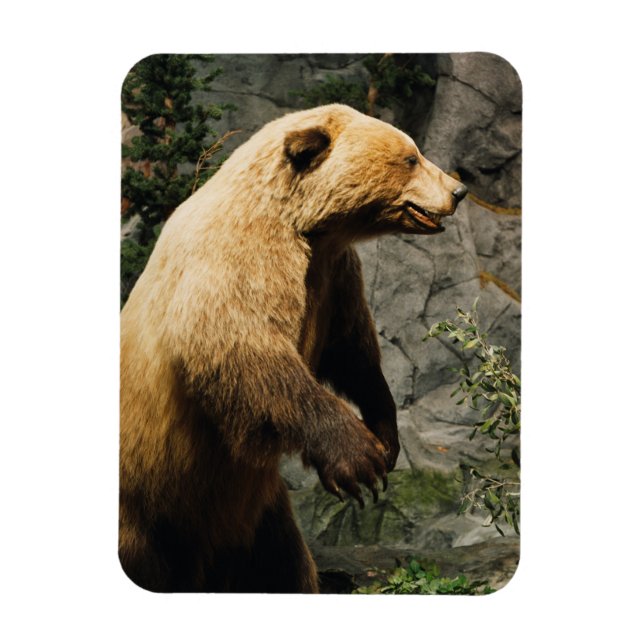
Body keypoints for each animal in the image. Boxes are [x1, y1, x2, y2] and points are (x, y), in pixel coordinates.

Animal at [119, 103, 468, 593]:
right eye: (410, 157)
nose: (459, 190)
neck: (307, 227)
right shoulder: (237, 260)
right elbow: (247, 351)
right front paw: (359, 460)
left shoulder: (333, 276)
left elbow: (352, 351)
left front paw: (385, 434)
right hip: (144, 501)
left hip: (255, 515)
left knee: (279, 564)